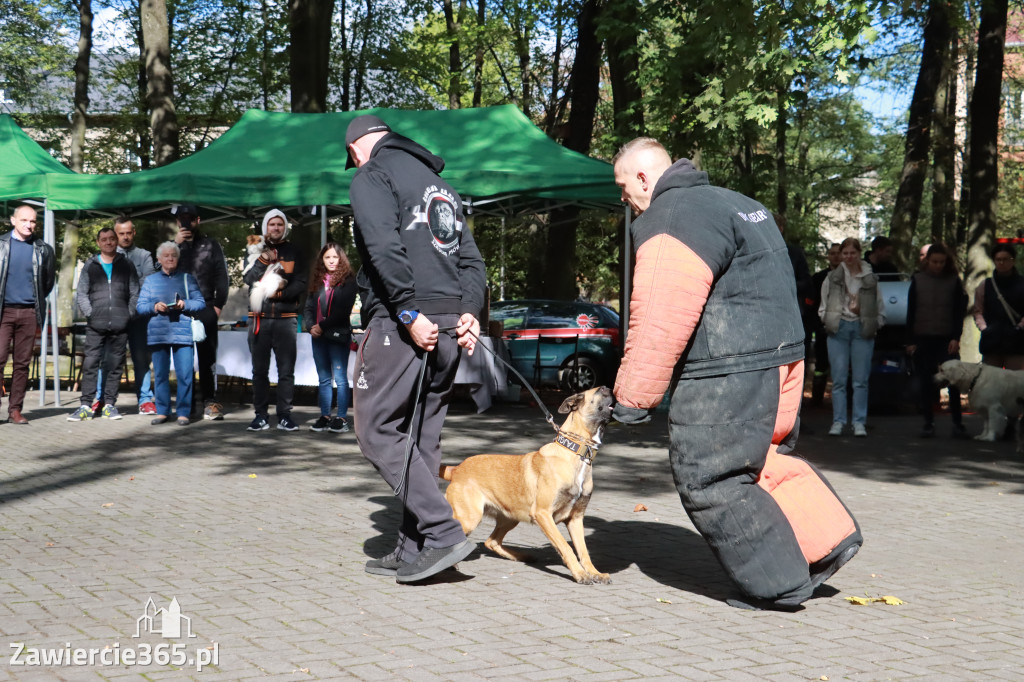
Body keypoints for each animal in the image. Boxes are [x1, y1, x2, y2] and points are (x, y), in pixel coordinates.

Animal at [440, 385, 614, 581]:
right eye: (600, 390)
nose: (611, 388)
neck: (576, 452)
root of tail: (457, 469)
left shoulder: (576, 518)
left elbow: (583, 551)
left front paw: (594, 572)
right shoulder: (543, 514)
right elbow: (566, 546)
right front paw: (579, 574)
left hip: (510, 517)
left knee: (491, 542)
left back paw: (521, 556)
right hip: (470, 518)